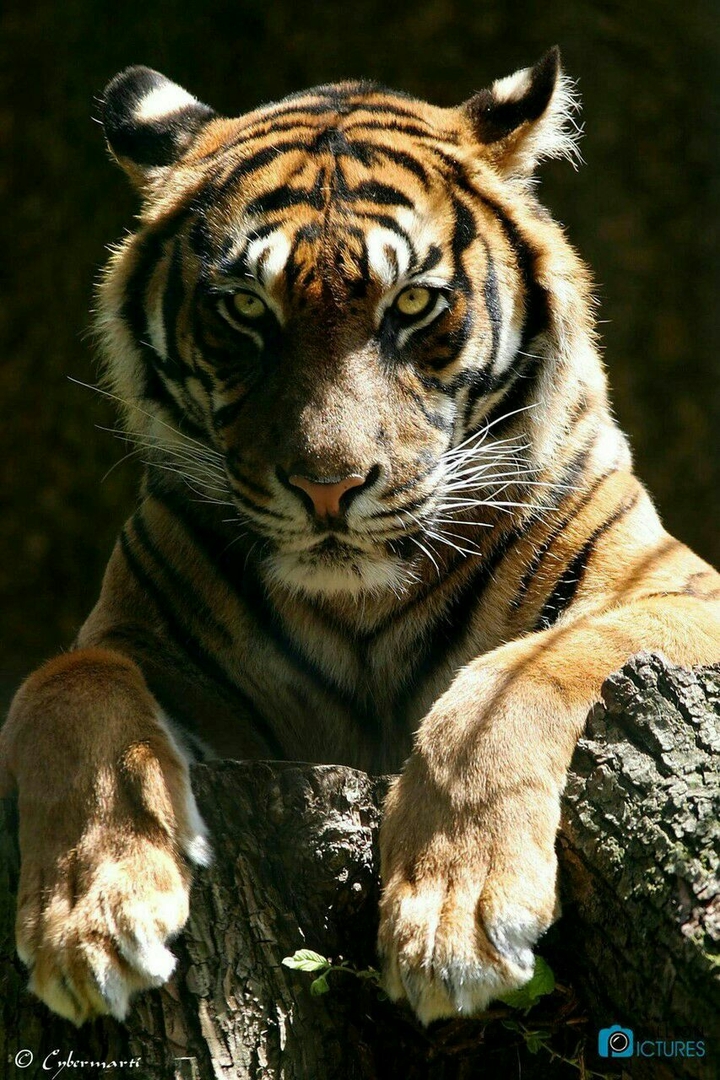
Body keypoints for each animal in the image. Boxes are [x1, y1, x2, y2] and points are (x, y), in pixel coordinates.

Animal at [1, 47, 719, 1030]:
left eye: (412, 303)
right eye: (244, 310)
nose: (327, 486)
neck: (359, 610)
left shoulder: (680, 590)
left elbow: (530, 666)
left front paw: (454, 917)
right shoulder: (136, 642)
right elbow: (64, 686)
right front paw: (91, 919)